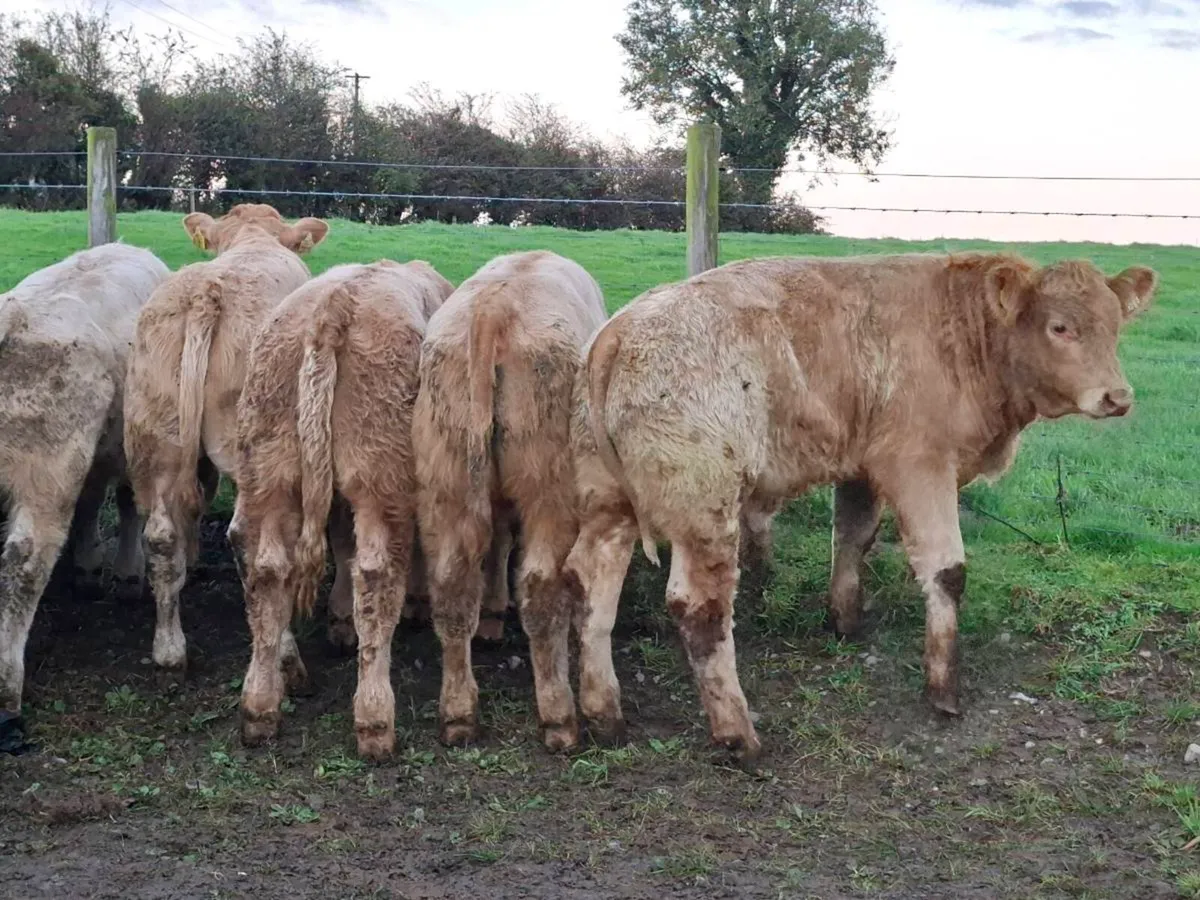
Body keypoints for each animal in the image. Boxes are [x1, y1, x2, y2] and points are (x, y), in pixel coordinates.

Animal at [0, 243, 170, 719]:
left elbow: (97, 501)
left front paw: (90, 566)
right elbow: (127, 503)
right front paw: (126, 574)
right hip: (46, 475)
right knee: (23, 563)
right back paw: (7, 682)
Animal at [123, 204, 332, 684]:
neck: (252, 239)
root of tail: (207, 291)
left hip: (154, 438)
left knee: (160, 535)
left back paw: (169, 649)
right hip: (262, 454)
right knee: (256, 544)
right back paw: (286, 658)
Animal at [232, 259, 454, 759]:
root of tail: (333, 307)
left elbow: (338, 539)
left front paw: (338, 619)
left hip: (270, 468)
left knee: (266, 572)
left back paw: (260, 706)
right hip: (381, 475)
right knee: (376, 574)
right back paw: (374, 720)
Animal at [414, 249, 608, 753]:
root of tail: (493, 312)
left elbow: (499, 540)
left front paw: (493, 613)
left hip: (448, 474)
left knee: (452, 587)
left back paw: (458, 714)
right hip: (550, 485)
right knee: (540, 588)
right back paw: (558, 716)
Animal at [565, 251, 1158, 764]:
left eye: (1116, 325)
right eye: (1060, 327)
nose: (1118, 397)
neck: (962, 331)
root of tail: (619, 331)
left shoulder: (861, 468)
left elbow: (853, 538)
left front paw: (845, 619)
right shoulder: (920, 467)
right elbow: (946, 571)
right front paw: (943, 687)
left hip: (611, 503)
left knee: (592, 580)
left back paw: (604, 714)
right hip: (704, 509)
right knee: (700, 608)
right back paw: (737, 734)